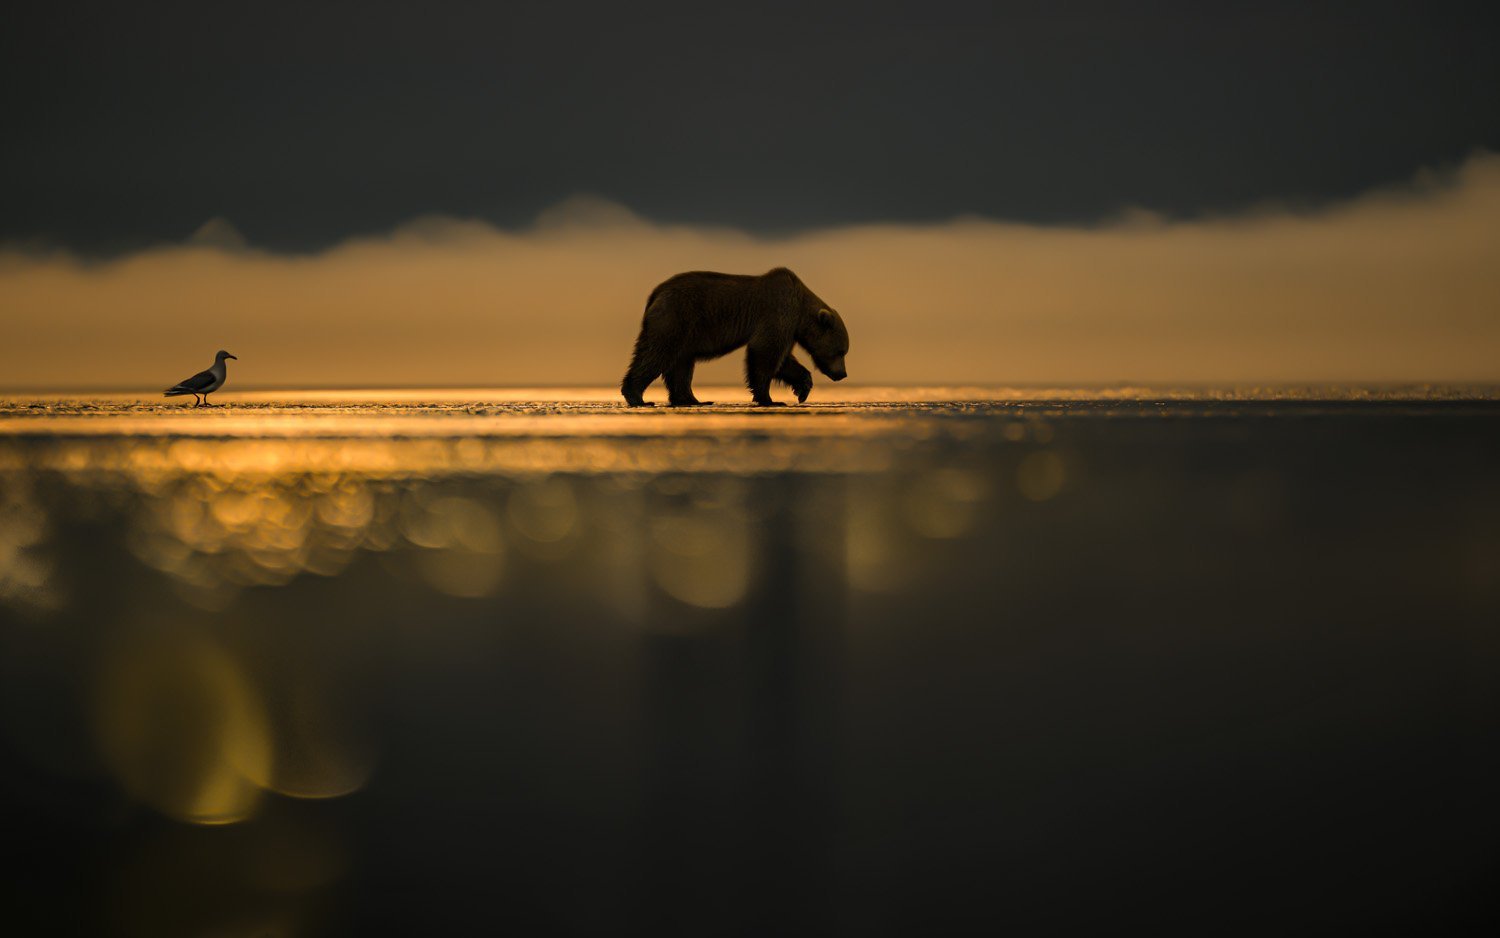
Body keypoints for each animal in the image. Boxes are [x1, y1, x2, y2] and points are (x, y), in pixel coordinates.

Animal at [621, 267, 850, 407]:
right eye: (841, 351)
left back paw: (692, 399)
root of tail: (655, 293)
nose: (842, 374)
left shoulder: (789, 327)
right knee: (656, 353)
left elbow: (784, 361)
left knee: (681, 364)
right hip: (676, 317)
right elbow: (765, 352)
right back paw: (637, 397)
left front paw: (802, 389)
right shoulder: (778, 313)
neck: (801, 309)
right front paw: (769, 399)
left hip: (684, 331)